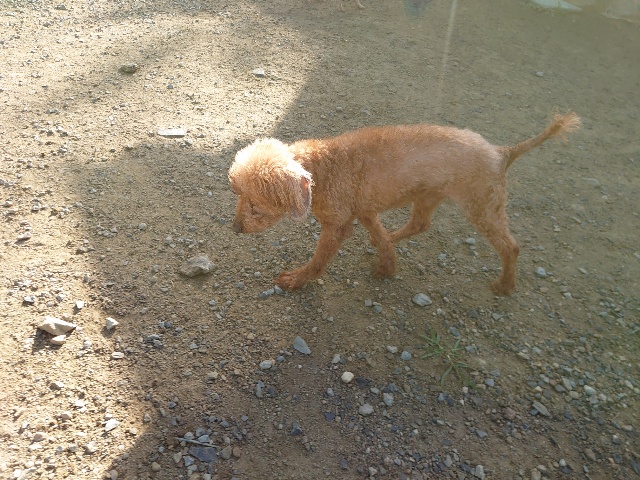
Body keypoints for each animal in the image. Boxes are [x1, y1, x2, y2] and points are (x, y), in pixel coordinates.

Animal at [228, 112, 580, 295]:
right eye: (238, 195)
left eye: (256, 205)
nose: (235, 228)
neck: (321, 171)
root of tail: (502, 152)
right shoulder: (364, 209)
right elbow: (381, 237)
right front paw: (387, 265)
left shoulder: (338, 224)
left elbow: (318, 261)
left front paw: (297, 280)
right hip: (428, 195)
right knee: (419, 224)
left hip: (482, 206)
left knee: (511, 247)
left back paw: (505, 285)